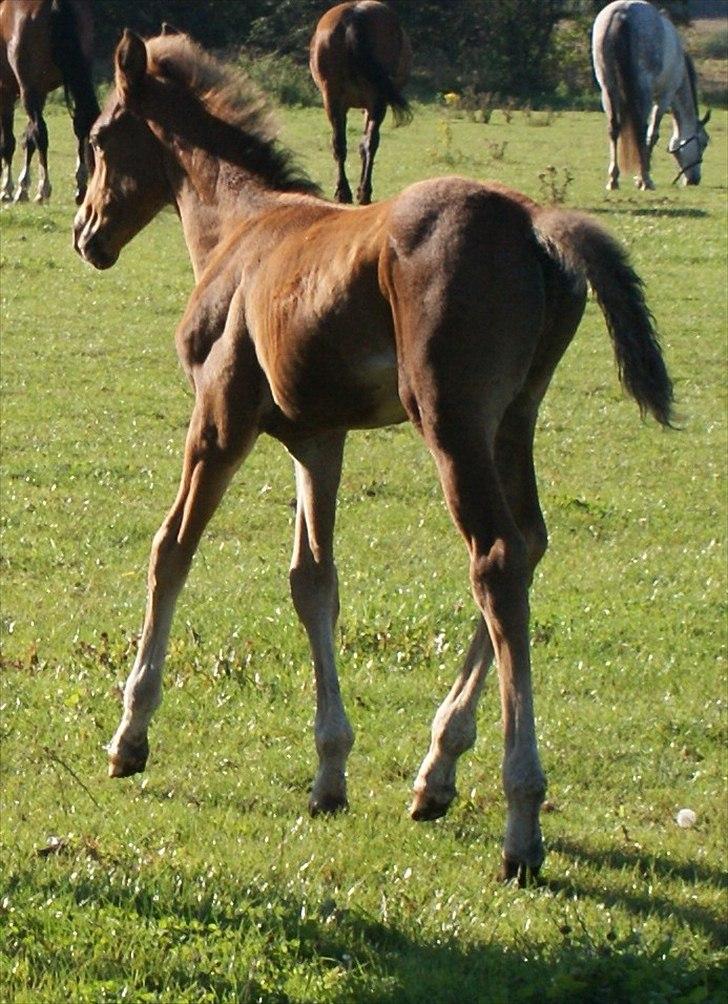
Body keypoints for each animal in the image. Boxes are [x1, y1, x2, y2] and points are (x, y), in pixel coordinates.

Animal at [0, 0, 97, 201]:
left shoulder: (5, 91)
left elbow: (8, 142)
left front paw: (7, 188)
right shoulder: (41, 92)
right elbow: (27, 139)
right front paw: (22, 188)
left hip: (28, 89)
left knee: (41, 132)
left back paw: (43, 188)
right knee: (81, 124)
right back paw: (80, 185)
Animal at [70, 29, 674, 887]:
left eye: (98, 139)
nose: (86, 235)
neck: (238, 229)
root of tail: (535, 225)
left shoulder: (219, 418)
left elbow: (171, 550)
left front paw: (130, 735)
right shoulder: (318, 439)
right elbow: (313, 583)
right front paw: (329, 773)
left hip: (451, 419)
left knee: (494, 560)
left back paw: (520, 821)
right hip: (512, 420)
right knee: (526, 547)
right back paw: (436, 774)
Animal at [307, 0, 409, 203]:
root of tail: (355, 17)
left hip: (332, 99)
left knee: (340, 144)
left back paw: (344, 192)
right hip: (376, 101)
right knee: (370, 142)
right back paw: (363, 192)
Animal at [590, 0, 710, 189]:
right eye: (704, 142)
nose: (694, 180)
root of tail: (622, 13)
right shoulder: (664, 97)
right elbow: (652, 135)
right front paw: (641, 178)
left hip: (608, 88)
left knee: (613, 128)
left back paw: (613, 179)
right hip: (643, 92)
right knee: (641, 129)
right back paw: (645, 179)